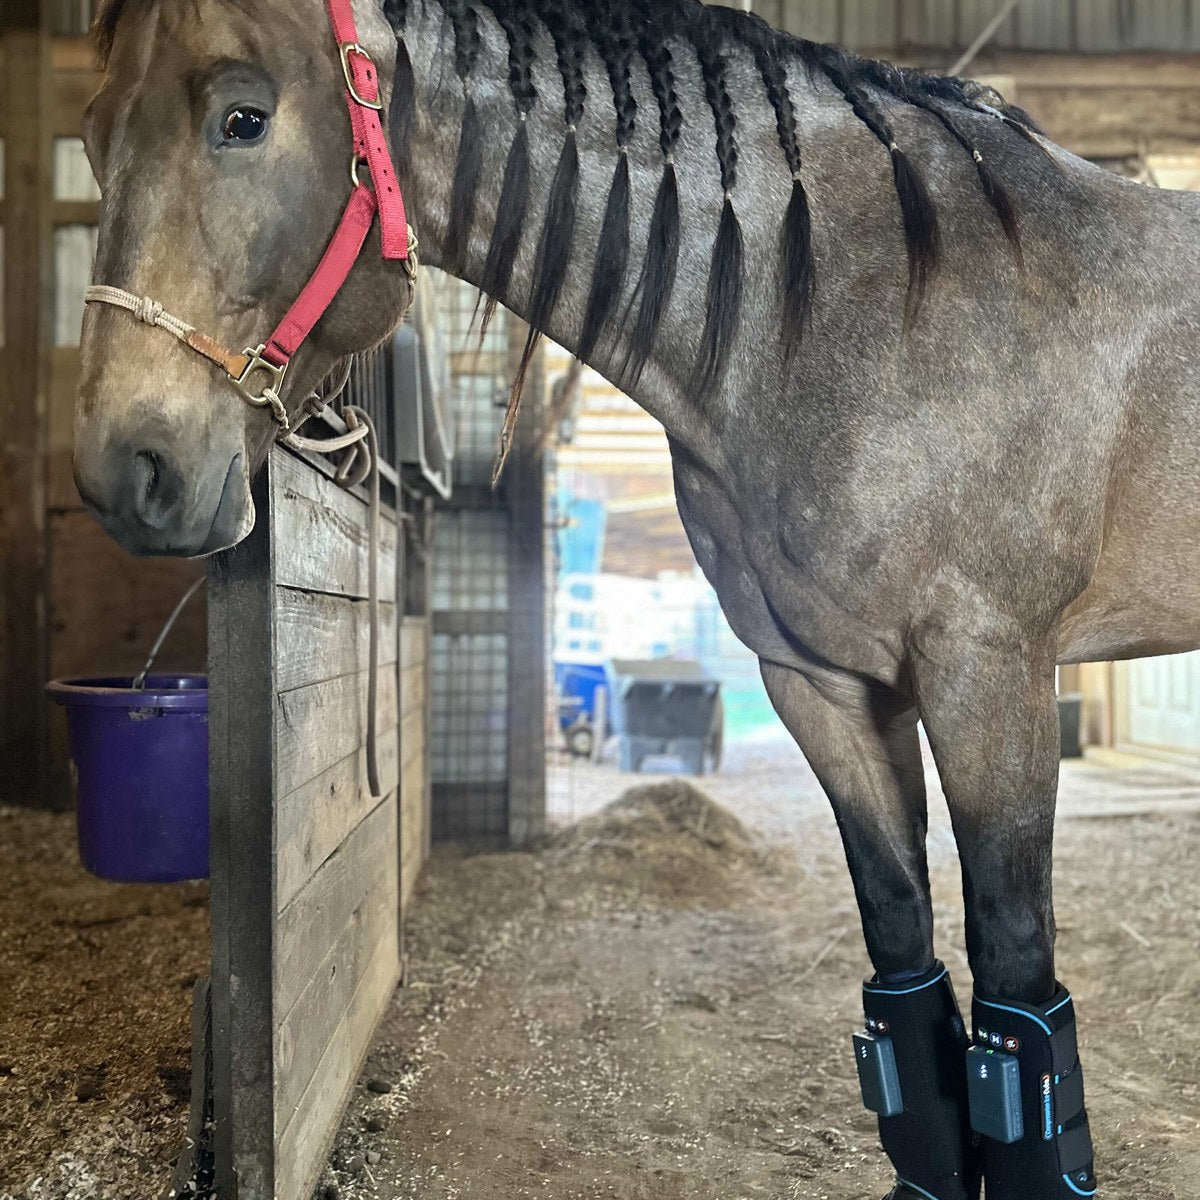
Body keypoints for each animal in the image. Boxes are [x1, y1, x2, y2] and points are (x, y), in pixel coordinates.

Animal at [75, 1, 1200, 1196]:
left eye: (242, 119)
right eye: (92, 136)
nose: (125, 472)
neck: (859, 307)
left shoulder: (986, 671)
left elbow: (1016, 1000)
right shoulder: (819, 684)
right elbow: (908, 976)